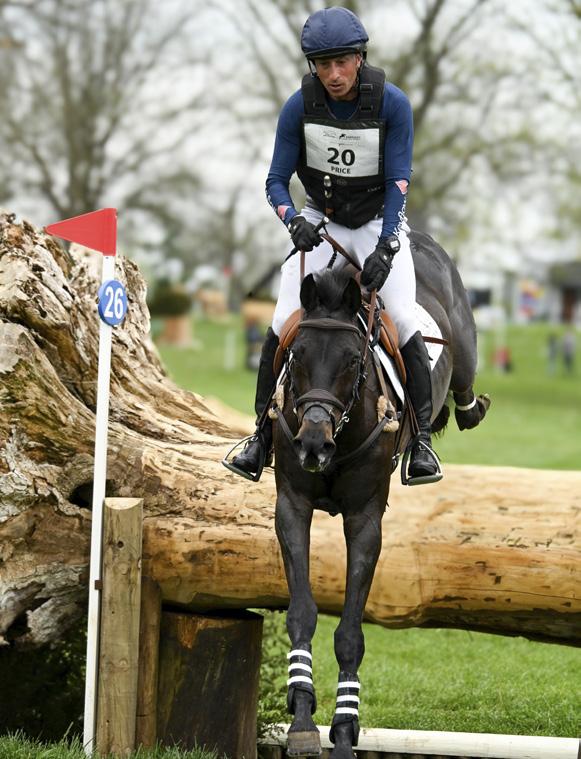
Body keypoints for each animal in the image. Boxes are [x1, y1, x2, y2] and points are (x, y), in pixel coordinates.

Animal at [269, 230, 489, 759]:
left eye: (353, 361)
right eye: (296, 354)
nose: (312, 444)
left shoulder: (365, 519)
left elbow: (351, 631)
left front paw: (345, 731)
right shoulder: (292, 506)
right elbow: (302, 611)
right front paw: (302, 720)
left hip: (464, 348)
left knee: (466, 384)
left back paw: (465, 412)